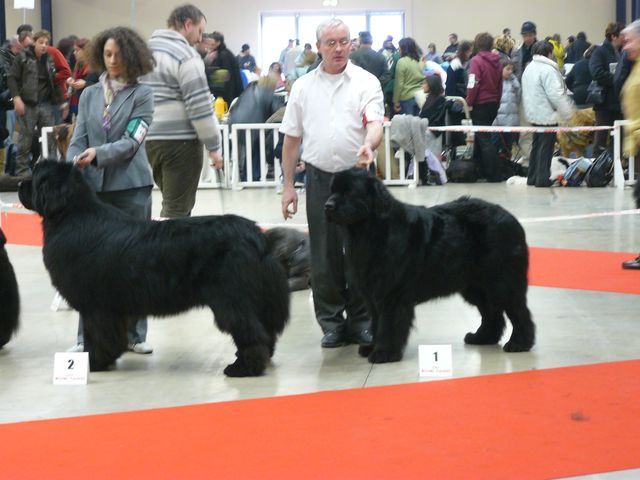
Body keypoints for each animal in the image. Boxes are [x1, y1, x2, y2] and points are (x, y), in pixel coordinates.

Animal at [18, 159, 290, 376]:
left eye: (36, 176)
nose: (19, 183)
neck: (71, 215)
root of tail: (256, 234)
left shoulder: (96, 306)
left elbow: (97, 335)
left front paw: (93, 362)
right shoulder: (111, 307)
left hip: (231, 298)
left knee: (251, 331)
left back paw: (244, 368)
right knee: (264, 330)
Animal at [324, 169, 536, 364]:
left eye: (349, 192)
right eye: (332, 191)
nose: (327, 206)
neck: (369, 230)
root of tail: (513, 220)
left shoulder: (392, 293)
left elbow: (388, 324)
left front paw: (384, 352)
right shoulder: (372, 293)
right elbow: (376, 323)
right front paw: (371, 346)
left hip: (502, 281)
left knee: (519, 312)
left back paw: (519, 343)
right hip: (476, 286)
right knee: (492, 312)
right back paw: (482, 337)